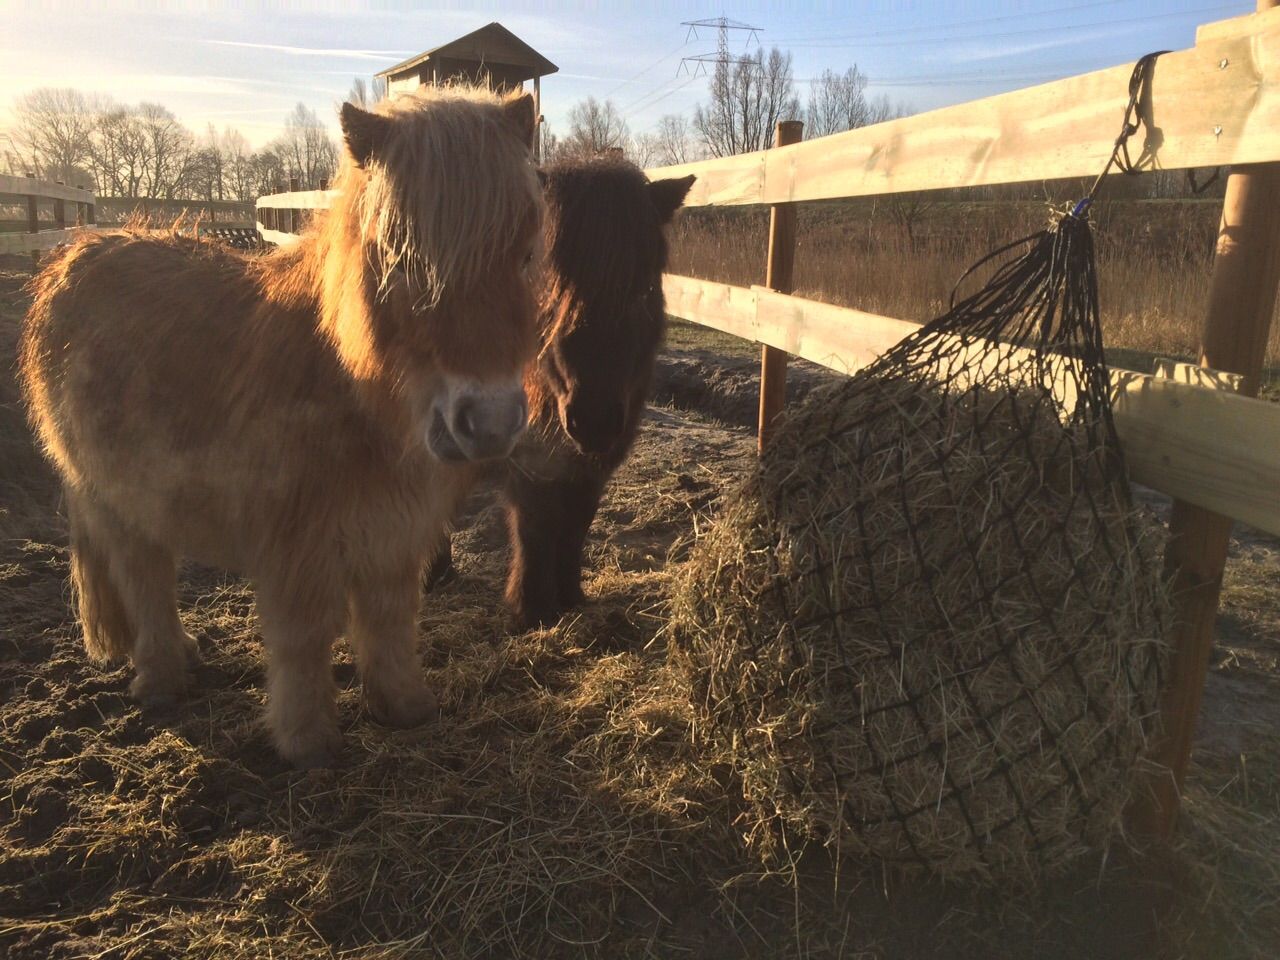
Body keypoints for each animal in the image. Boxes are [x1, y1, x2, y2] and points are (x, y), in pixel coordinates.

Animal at [19, 87, 542, 768]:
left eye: (525, 253)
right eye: (402, 258)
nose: (491, 421)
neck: (349, 383)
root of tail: (77, 253)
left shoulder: (393, 533)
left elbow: (390, 621)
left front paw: (404, 708)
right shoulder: (296, 544)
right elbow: (303, 638)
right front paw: (307, 742)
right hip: (112, 497)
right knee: (144, 579)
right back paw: (160, 679)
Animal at [427, 156, 695, 629]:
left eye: (645, 283)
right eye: (547, 275)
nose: (594, 417)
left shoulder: (593, 463)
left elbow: (576, 524)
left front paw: (570, 596)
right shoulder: (529, 458)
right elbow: (535, 526)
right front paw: (532, 608)